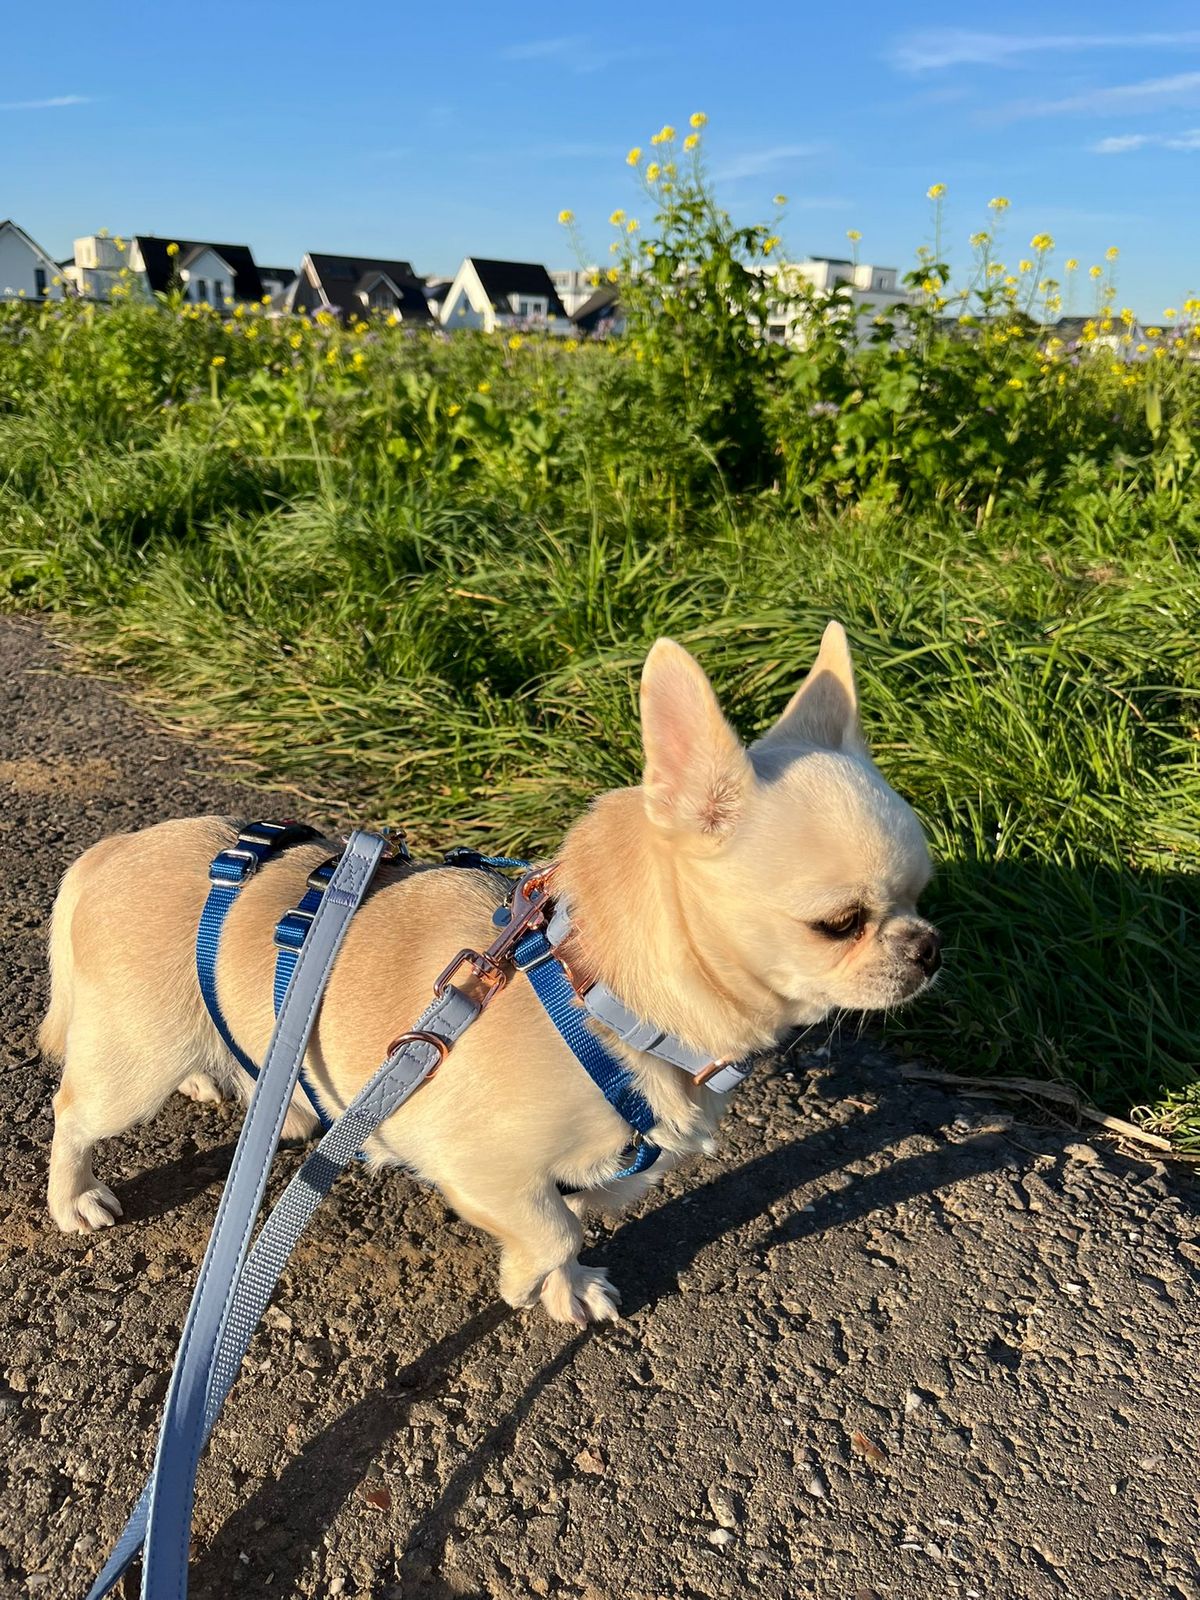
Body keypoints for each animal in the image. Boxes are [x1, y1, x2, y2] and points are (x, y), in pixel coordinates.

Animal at [42, 624, 939, 1326]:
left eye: (925, 895)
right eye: (839, 924)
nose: (928, 946)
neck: (598, 990)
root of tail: (109, 852)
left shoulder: (620, 1155)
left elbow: (593, 1204)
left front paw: (567, 1284)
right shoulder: (477, 1165)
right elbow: (552, 1228)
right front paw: (526, 1280)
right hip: (133, 1066)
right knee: (75, 1113)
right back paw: (72, 1196)